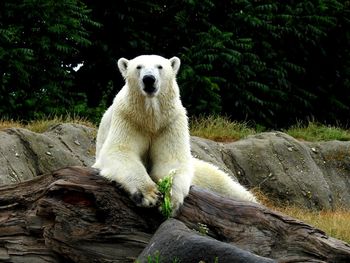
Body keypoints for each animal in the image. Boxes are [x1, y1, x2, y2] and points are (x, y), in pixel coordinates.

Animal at [93, 54, 258, 213]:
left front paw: (169, 199)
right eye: (138, 67)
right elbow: (120, 151)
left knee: (227, 185)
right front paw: (149, 194)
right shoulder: (128, 118)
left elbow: (172, 160)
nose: (149, 79)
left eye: (160, 66)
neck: (150, 118)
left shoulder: (170, 122)